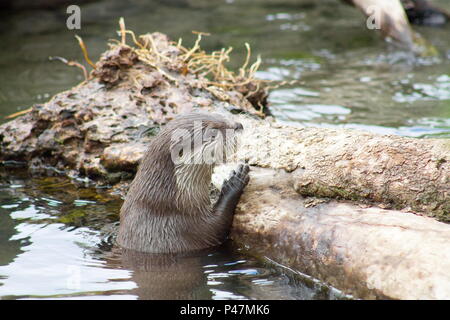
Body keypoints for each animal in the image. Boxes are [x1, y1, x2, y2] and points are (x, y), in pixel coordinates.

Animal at [116, 111, 250, 254]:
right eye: (213, 132)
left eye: (221, 116)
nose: (239, 125)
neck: (172, 201)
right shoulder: (190, 226)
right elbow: (218, 225)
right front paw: (235, 180)